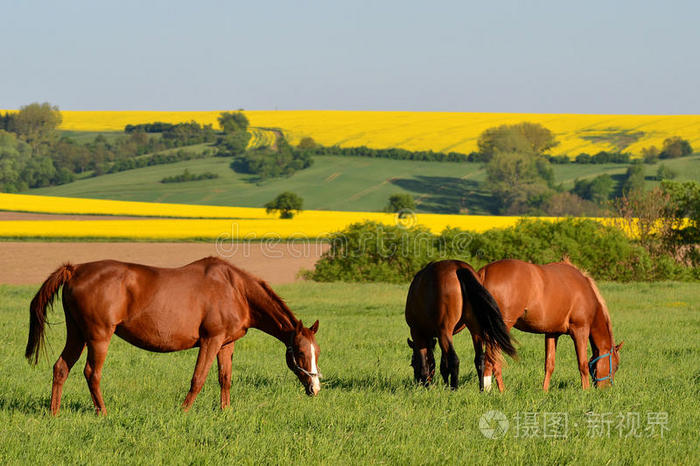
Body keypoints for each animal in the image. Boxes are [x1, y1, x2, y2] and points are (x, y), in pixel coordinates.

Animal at [25, 256, 322, 415]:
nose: (315, 388)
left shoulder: (226, 344)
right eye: (300, 352)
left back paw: (54, 413)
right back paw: (103, 412)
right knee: (91, 373)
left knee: (61, 368)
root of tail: (75, 269)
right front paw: (184, 411)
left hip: (77, 334)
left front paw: (225, 412)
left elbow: (224, 379)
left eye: (317, 352)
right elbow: (198, 379)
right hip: (98, 337)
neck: (236, 290)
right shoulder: (211, 340)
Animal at [404, 260, 517, 390]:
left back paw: (454, 389)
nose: (417, 381)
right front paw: (444, 384)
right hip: (474, 330)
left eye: (412, 363)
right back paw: (481, 389)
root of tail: (459, 267)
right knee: (479, 359)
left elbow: (425, 364)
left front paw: (427, 387)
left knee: (454, 360)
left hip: (445, 331)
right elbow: (443, 364)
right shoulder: (440, 336)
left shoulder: (418, 333)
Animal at [477, 259, 623, 391]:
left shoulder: (552, 333)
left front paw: (544, 391)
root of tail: (485, 271)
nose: (606, 389)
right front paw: (585, 391)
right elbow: (583, 365)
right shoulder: (580, 331)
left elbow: (549, 365)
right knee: (493, 360)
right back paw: (501, 392)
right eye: (616, 366)